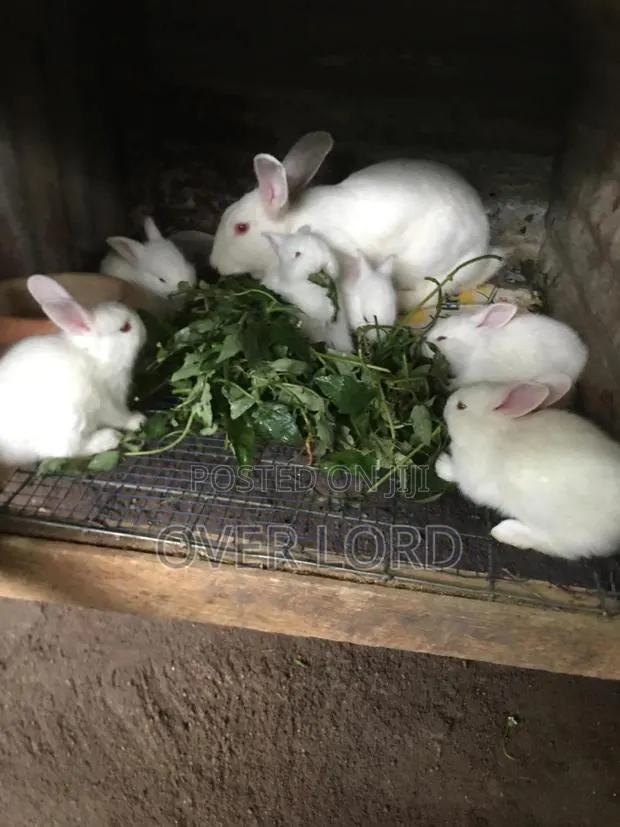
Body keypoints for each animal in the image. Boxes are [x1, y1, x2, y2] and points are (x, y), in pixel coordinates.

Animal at [0, 275, 148, 466]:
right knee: (66, 451)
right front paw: (138, 420)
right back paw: (108, 438)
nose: (144, 329)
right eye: (125, 328)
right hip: (70, 421)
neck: (95, 356)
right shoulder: (108, 401)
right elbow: (119, 416)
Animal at [422, 302, 589, 395]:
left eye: (442, 338)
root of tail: (582, 353)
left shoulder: (472, 375)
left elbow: (457, 383)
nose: (422, 346)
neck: (474, 347)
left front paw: (447, 386)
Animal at [435, 376, 620, 560]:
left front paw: (440, 464)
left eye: (461, 406)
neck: (492, 430)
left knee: (554, 545)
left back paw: (504, 531)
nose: (446, 403)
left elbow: (455, 475)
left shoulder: (470, 477)